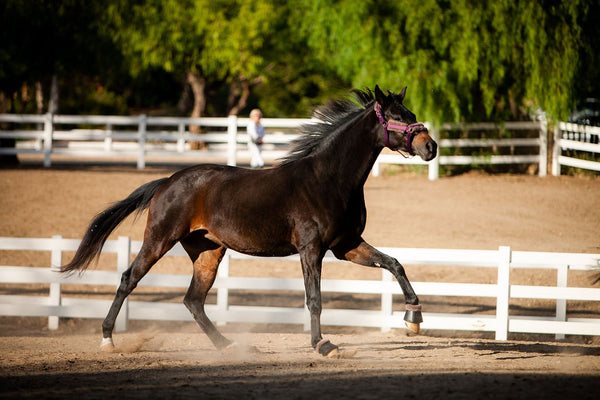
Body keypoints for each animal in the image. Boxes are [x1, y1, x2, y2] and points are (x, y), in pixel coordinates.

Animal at [62, 86, 436, 358]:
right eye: (396, 118)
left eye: (413, 115)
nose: (430, 146)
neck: (328, 179)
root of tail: (167, 181)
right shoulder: (311, 249)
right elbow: (314, 298)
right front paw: (323, 344)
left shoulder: (346, 246)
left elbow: (395, 264)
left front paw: (414, 318)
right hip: (159, 239)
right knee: (129, 279)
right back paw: (108, 340)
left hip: (208, 251)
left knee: (193, 300)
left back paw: (228, 346)